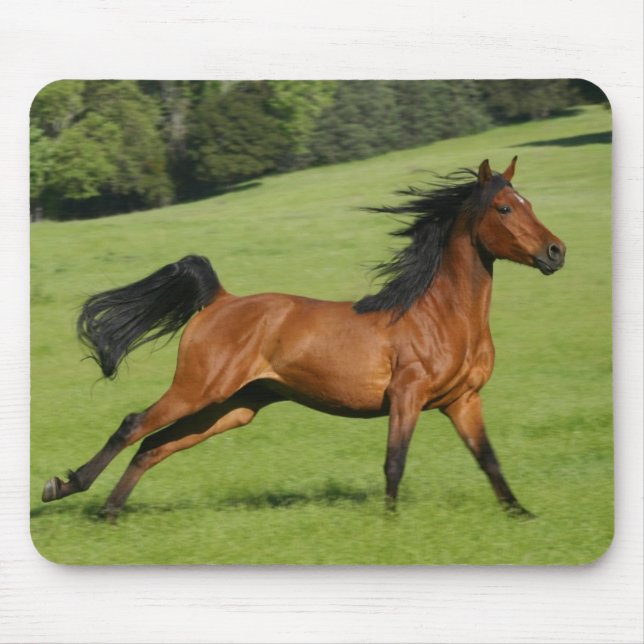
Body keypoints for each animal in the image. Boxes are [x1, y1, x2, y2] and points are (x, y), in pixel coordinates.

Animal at [42, 157, 566, 520]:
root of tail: (221, 300)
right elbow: (394, 462)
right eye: (504, 207)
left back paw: (109, 512)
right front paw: (390, 522)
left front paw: (521, 514)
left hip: (231, 407)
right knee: (133, 425)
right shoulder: (407, 396)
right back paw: (63, 487)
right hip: (197, 389)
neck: (441, 315)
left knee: (154, 446)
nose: (556, 252)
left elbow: (489, 460)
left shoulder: (463, 401)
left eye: (530, 204)